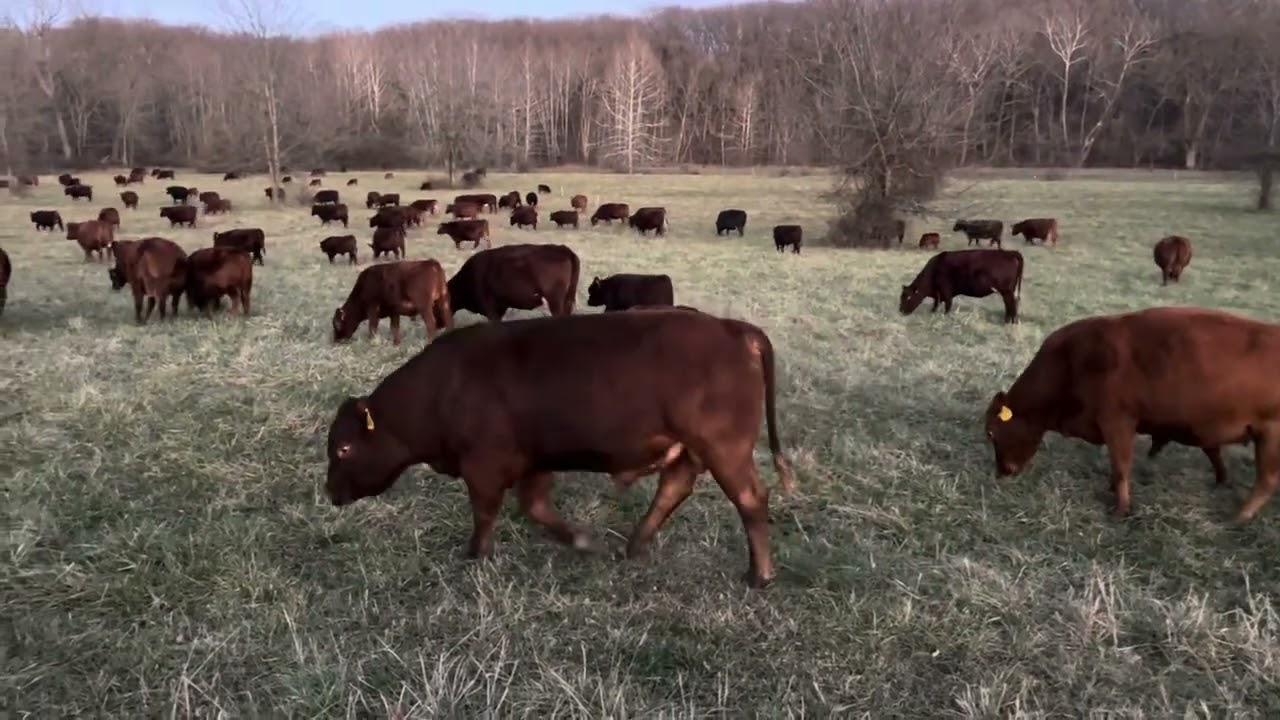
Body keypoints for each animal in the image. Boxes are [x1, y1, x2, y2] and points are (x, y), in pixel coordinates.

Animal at [320, 308, 796, 587]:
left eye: (342, 449)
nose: (329, 493)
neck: (443, 387)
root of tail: (733, 329)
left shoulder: (485, 465)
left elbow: (485, 512)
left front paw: (475, 555)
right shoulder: (533, 460)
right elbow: (536, 508)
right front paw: (581, 540)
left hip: (724, 448)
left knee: (751, 500)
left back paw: (760, 574)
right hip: (691, 450)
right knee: (673, 489)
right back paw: (635, 547)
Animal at [981, 306, 1280, 521]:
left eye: (991, 432)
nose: (1001, 472)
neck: (1071, 360)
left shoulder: (1117, 422)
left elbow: (1121, 466)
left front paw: (1120, 509)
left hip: (1270, 436)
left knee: (1266, 480)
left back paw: (1240, 516)